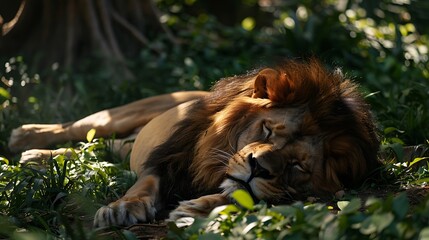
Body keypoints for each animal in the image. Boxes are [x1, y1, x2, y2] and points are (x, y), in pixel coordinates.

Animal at [8, 58, 380, 227]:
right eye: (268, 131)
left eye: (297, 164)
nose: (258, 168)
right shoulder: (169, 158)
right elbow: (143, 185)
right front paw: (121, 208)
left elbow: (244, 194)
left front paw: (196, 208)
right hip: (120, 115)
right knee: (77, 127)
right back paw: (26, 137)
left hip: (124, 142)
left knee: (99, 150)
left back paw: (37, 157)